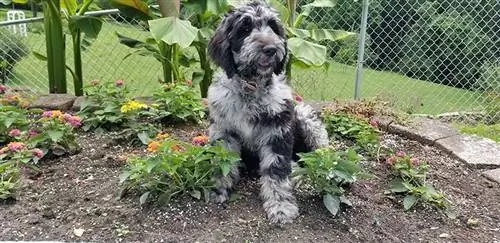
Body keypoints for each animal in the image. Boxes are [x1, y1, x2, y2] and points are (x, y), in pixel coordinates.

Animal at [205, 0, 330, 224]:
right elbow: (222, 163)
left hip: (305, 116)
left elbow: (276, 170)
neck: (251, 88)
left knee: (320, 156)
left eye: (273, 27)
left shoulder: (277, 130)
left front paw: (280, 206)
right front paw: (217, 189)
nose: (271, 49)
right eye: (245, 29)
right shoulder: (223, 130)